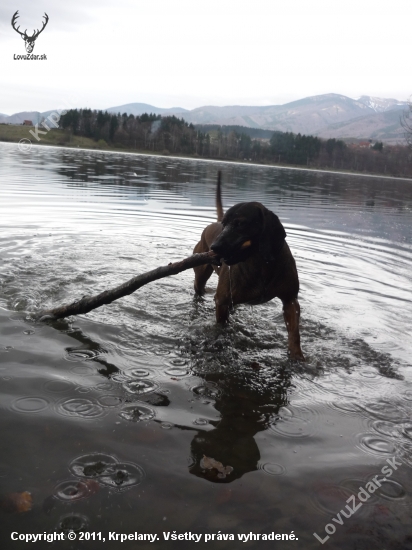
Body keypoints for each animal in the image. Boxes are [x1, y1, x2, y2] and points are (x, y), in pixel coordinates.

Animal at [192, 174, 304, 362]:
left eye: (240, 224)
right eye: (225, 224)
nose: (214, 247)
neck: (262, 264)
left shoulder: (290, 300)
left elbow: (294, 334)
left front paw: (297, 358)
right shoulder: (222, 301)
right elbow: (222, 326)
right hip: (201, 277)